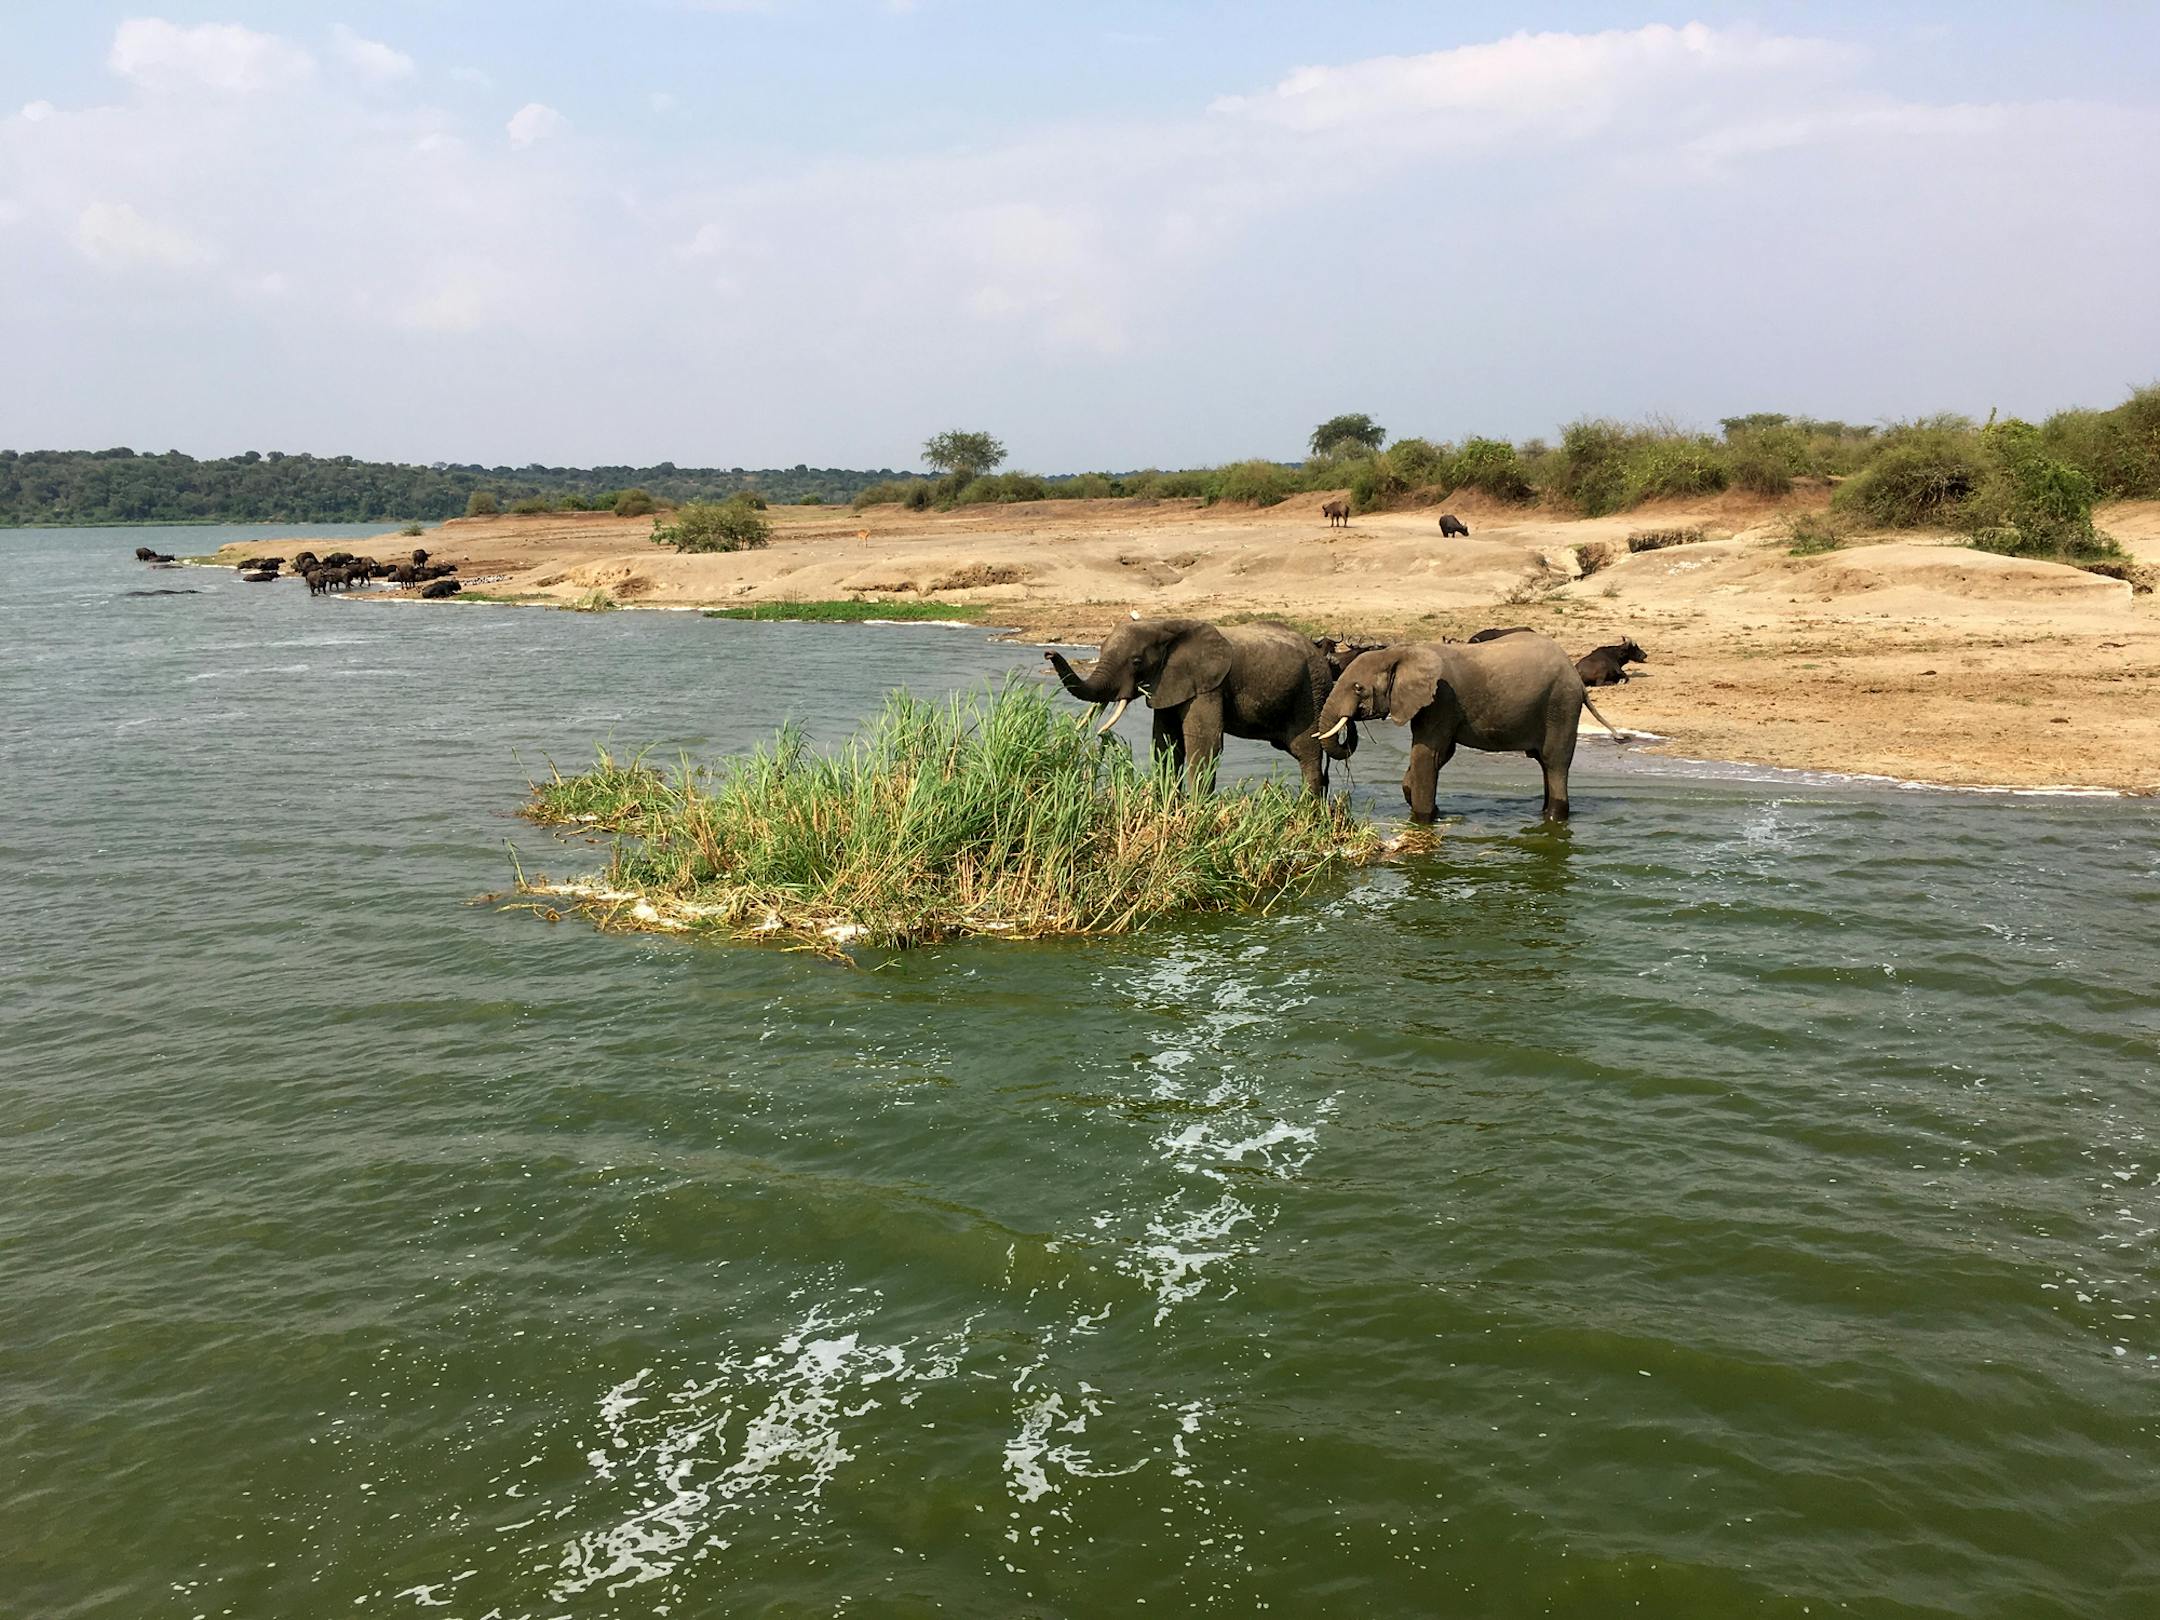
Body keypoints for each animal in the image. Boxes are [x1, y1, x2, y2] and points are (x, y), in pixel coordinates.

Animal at [1044, 616, 1355, 794]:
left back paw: (1309, 816)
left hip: (1312, 692)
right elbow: (1166, 743)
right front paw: (1166, 804)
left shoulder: (1208, 685)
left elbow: (1203, 743)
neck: (1163, 626)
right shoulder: (1169, 683)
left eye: (1136, 662)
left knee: (1307, 752)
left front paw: (1196, 812)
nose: (1049, 652)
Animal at [1313, 634, 1621, 822]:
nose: (1351, 721)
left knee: (1556, 764)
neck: (1403, 652)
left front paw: (1422, 820)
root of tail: (1576, 676)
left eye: (1358, 688)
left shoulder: (1442, 699)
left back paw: (1555, 817)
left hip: (1561, 706)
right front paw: (1429, 807)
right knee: (1546, 765)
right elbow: (1440, 754)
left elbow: (1428, 753)